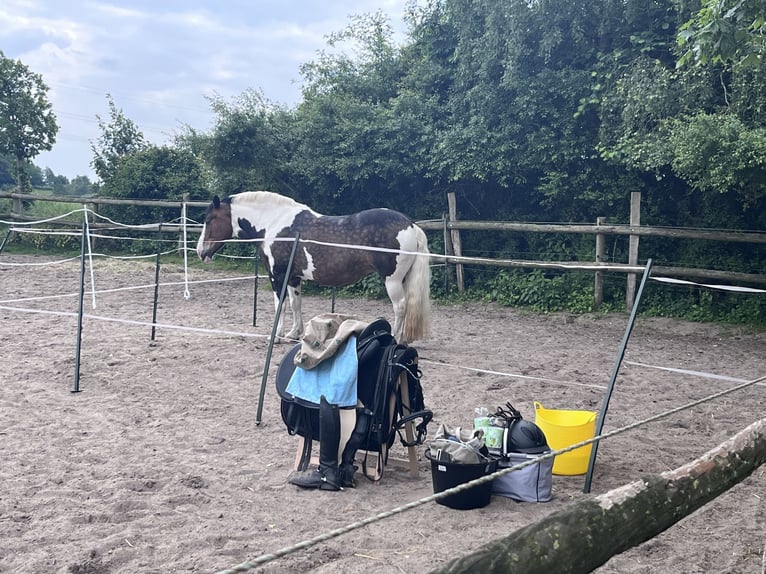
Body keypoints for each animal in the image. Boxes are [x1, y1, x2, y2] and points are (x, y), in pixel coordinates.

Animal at [195, 194, 432, 344]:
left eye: (209, 219)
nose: (200, 251)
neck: (274, 224)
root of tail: (411, 225)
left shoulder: (277, 276)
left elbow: (279, 305)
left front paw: (277, 336)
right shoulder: (293, 278)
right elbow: (295, 303)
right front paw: (293, 334)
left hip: (392, 280)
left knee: (400, 307)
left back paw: (397, 339)